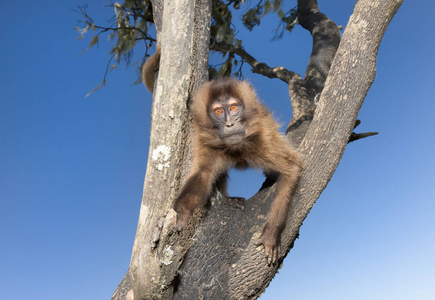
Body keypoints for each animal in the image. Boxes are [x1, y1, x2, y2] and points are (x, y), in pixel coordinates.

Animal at [175, 78, 304, 264]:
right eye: (218, 111)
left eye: (234, 108)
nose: (230, 124)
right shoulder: (206, 141)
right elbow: (203, 175)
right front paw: (182, 211)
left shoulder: (263, 137)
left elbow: (291, 169)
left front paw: (271, 234)